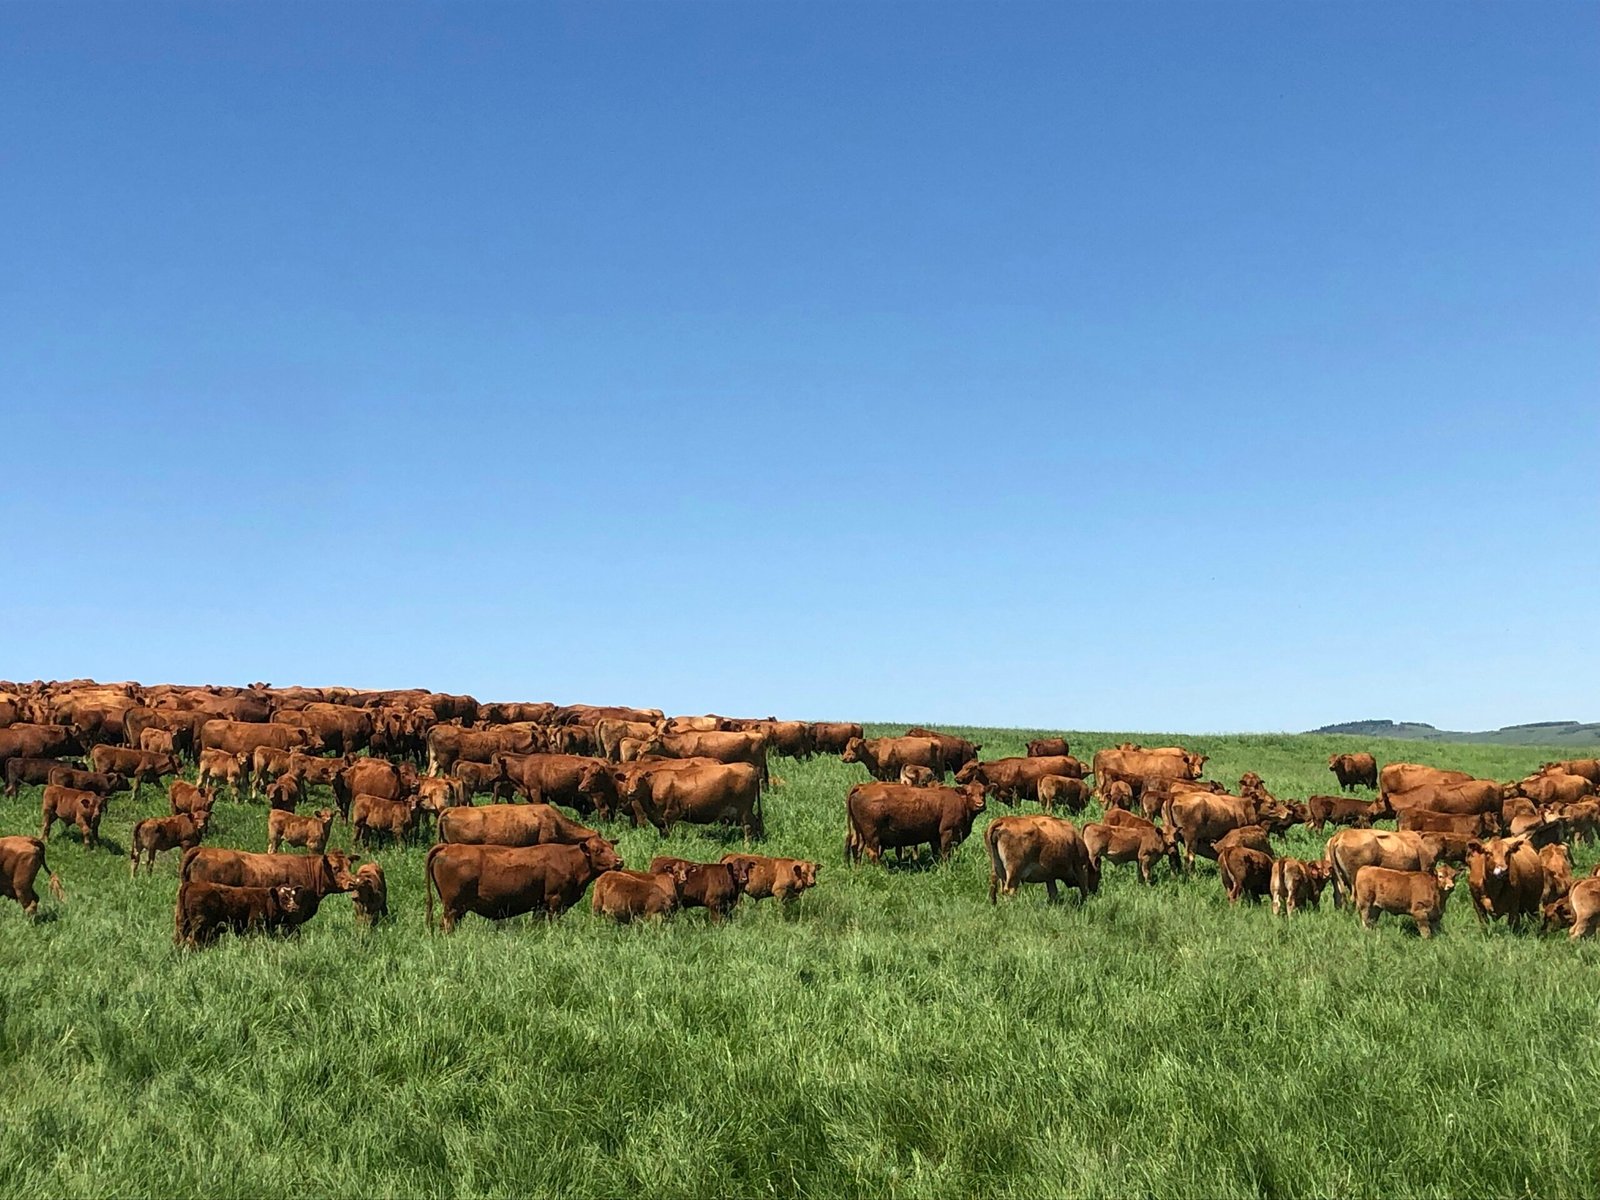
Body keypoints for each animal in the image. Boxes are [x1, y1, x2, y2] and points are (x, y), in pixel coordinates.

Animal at [174, 881, 315, 947]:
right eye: (283, 898)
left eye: (293, 896)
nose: (295, 907)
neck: (266, 900)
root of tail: (192, 884)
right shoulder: (255, 923)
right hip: (199, 923)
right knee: (193, 939)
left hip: (182, 922)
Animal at [424, 836, 623, 932]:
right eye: (598, 850)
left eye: (611, 847)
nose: (619, 861)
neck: (569, 860)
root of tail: (449, 847)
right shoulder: (555, 901)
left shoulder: (540, 906)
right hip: (452, 907)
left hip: (458, 909)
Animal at [845, 782, 986, 865]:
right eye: (969, 793)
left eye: (983, 793)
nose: (980, 804)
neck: (959, 800)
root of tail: (862, 787)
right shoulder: (947, 832)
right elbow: (945, 852)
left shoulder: (935, 837)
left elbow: (937, 852)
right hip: (871, 834)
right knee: (872, 852)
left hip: (860, 832)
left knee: (856, 847)